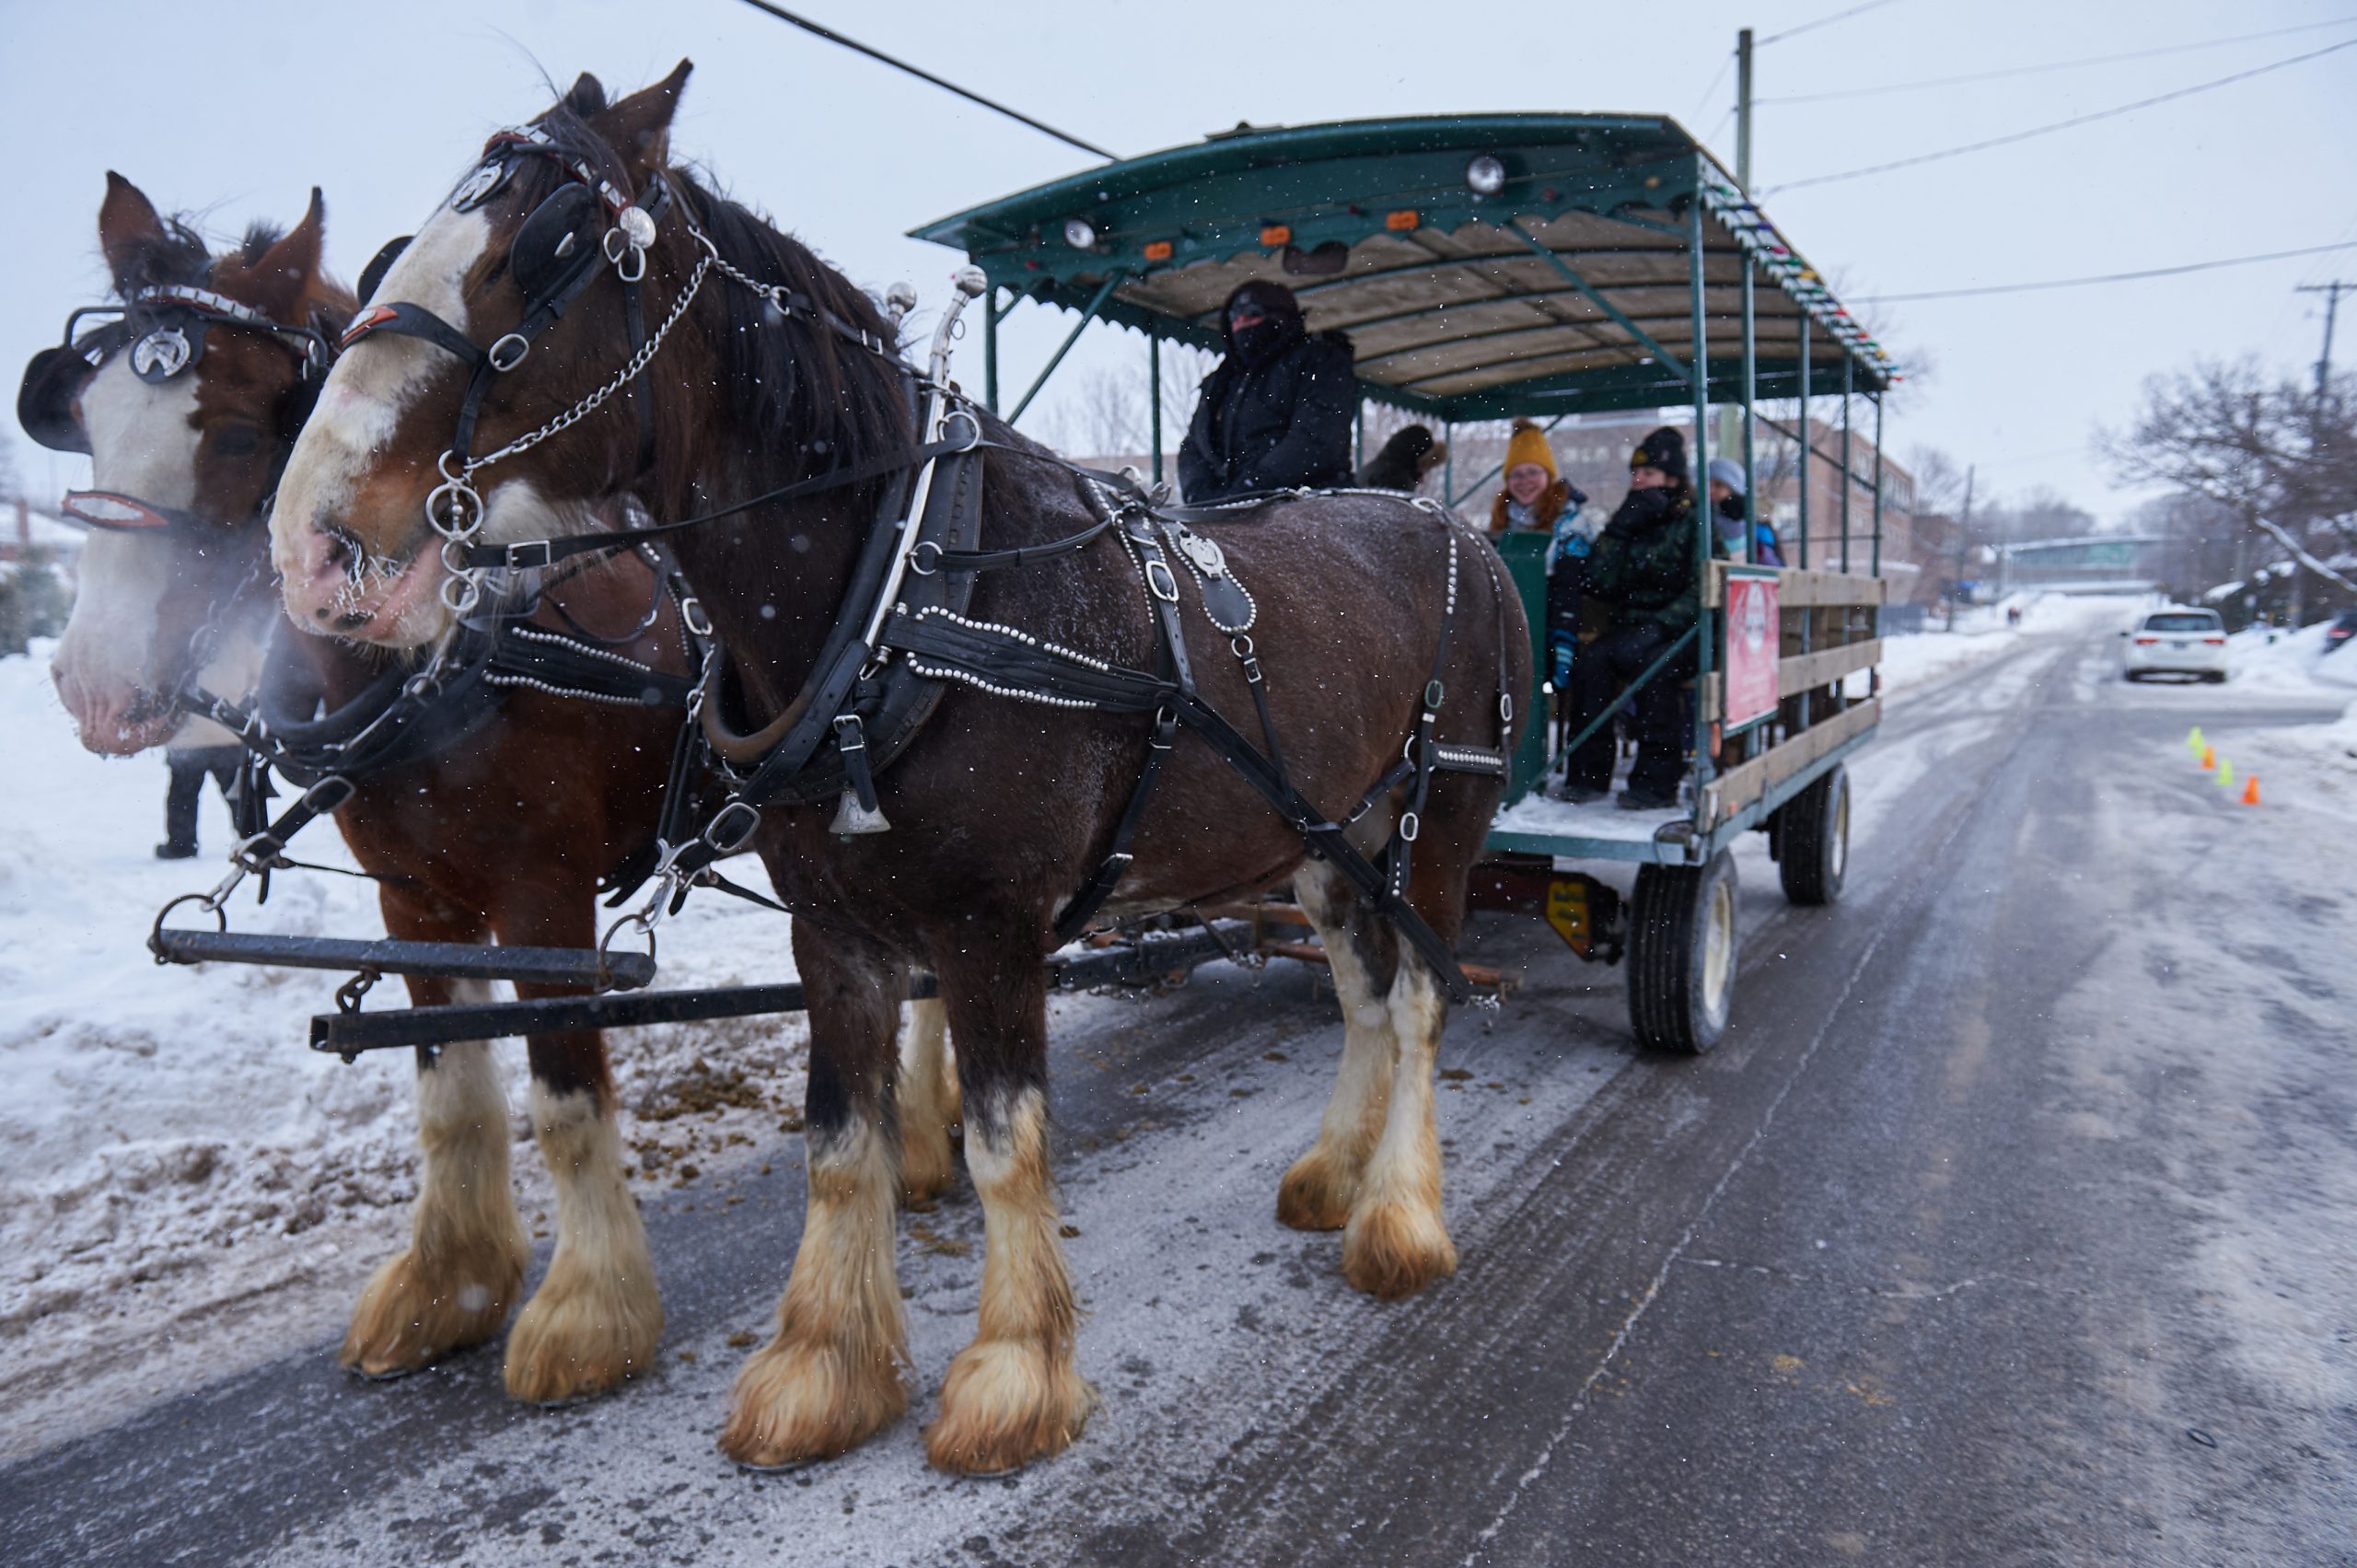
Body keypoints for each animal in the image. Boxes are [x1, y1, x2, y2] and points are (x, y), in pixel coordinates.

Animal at [25, 180, 957, 1396]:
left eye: (232, 429)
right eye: (83, 419)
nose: (94, 683)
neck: (449, 656)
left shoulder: (541, 893)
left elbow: (561, 1092)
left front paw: (588, 1311)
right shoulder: (414, 898)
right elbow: (450, 1094)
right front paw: (447, 1284)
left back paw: (931, 1136)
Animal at [271, 66, 1527, 1471]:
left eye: (546, 251)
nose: (311, 537)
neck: (901, 591)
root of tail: (1448, 522)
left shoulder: (990, 923)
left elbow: (1003, 1139)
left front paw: (1016, 1371)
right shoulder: (835, 925)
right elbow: (837, 1136)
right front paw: (824, 1363)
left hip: (1441, 813)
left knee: (1416, 1000)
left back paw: (1399, 1215)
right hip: (1321, 835)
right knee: (1361, 991)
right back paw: (1335, 1173)